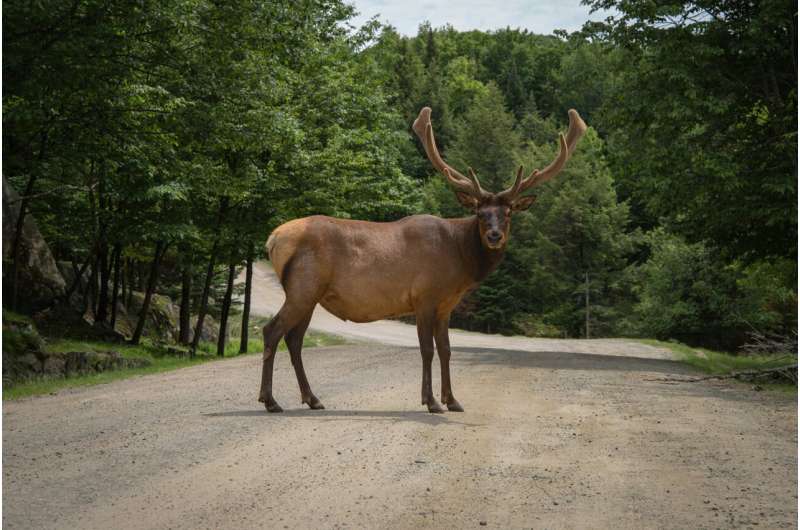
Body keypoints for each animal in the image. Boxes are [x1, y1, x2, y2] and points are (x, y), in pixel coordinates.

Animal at [260, 106, 584, 412]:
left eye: (508, 213)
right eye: (480, 213)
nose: (494, 236)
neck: (460, 261)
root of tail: (273, 238)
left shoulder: (446, 305)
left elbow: (446, 349)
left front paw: (453, 400)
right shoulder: (424, 296)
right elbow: (427, 349)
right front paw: (431, 401)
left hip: (310, 294)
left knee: (294, 339)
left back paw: (312, 398)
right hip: (303, 287)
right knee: (272, 330)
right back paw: (270, 400)